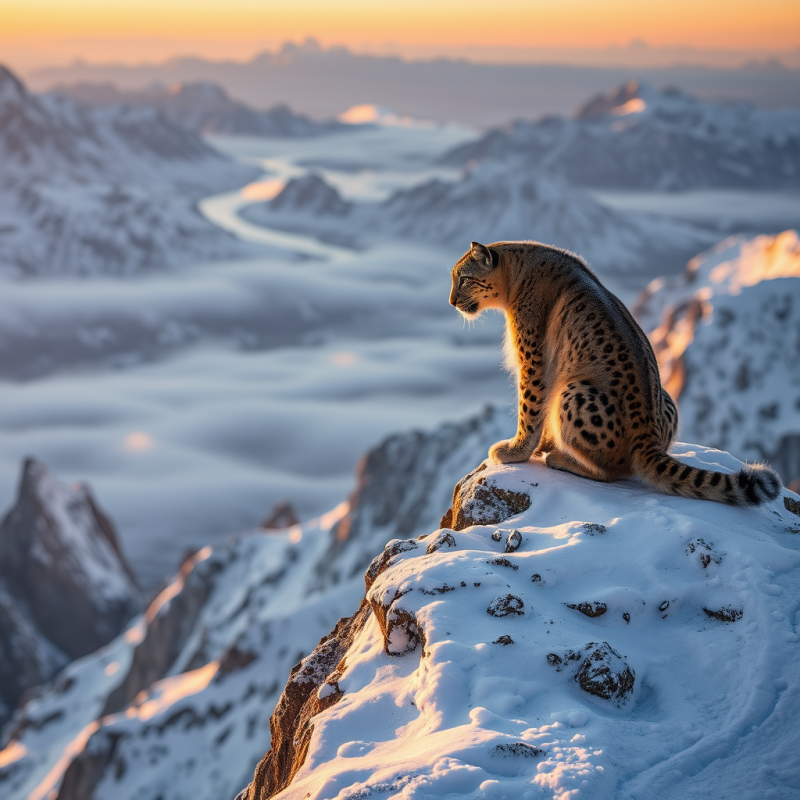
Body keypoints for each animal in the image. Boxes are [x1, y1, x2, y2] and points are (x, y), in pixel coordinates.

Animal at [449, 240, 781, 506]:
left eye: (463, 278)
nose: (451, 301)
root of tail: (647, 433)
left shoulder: (532, 358)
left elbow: (529, 408)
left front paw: (514, 452)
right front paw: (537, 446)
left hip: (573, 392)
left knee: (608, 471)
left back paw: (560, 458)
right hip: (665, 398)